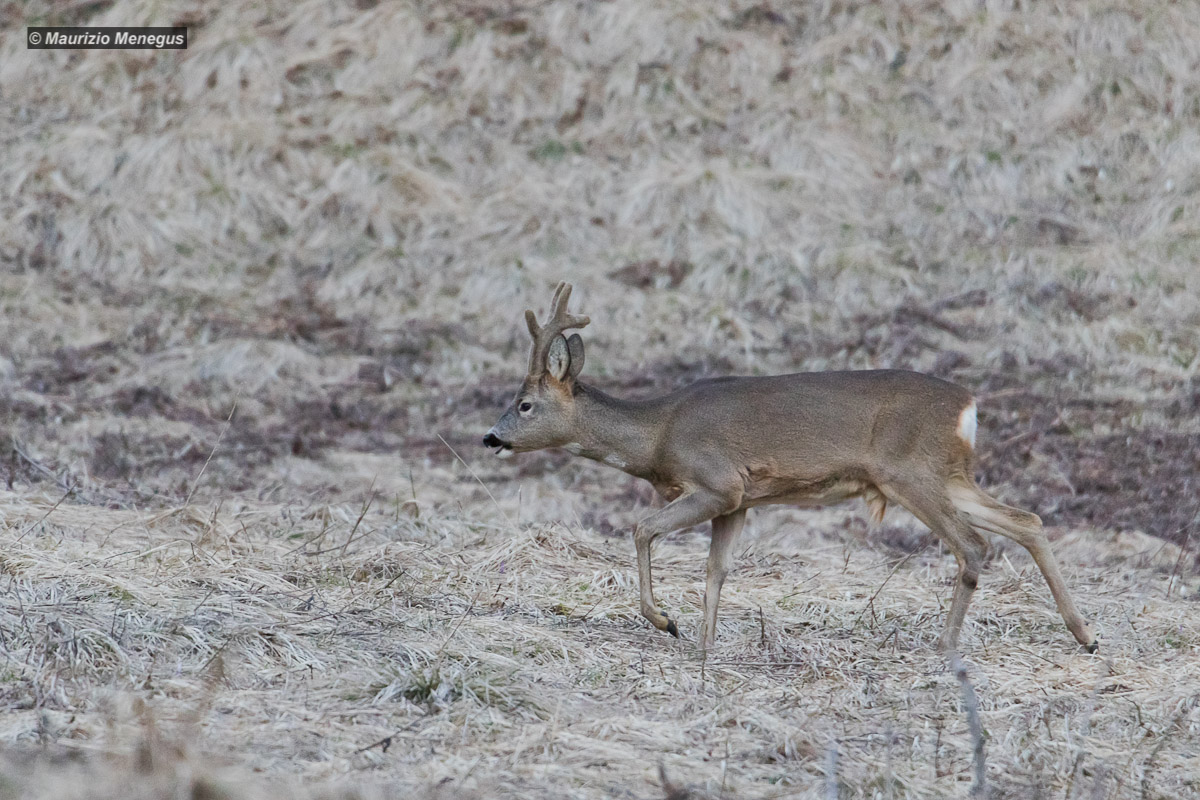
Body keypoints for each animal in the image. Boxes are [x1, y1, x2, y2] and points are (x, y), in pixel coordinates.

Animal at [483, 283, 1098, 655]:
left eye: (524, 404)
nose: (490, 437)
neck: (657, 436)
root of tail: (968, 406)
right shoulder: (741, 499)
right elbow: (717, 570)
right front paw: (705, 645)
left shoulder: (717, 482)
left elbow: (642, 529)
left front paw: (667, 623)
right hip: (947, 474)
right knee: (1026, 521)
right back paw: (1085, 634)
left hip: (910, 473)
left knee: (974, 545)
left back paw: (946, 647)